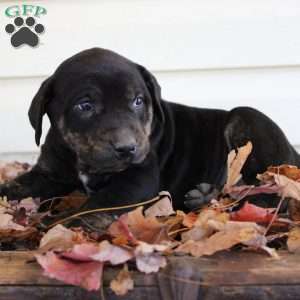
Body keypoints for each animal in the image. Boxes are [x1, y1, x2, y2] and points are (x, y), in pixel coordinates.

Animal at [1, 48, 298, 210]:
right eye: (84, 106)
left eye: (138, 101)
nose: (126, 148)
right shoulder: (48, 174)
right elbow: (13, 187)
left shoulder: (137, 178)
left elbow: (87, 209)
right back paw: (204, 197)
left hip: (248, 122)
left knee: (267, 195)